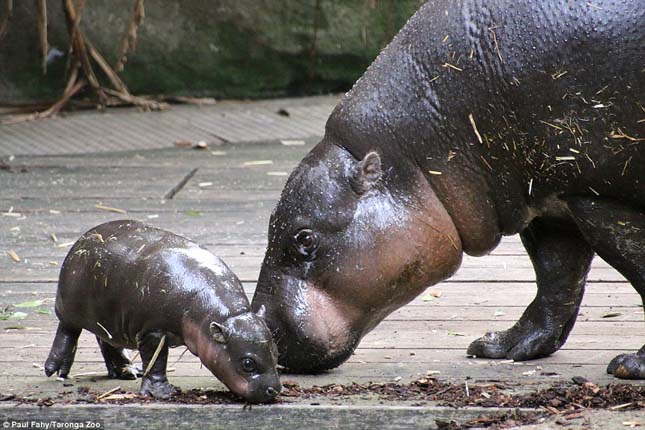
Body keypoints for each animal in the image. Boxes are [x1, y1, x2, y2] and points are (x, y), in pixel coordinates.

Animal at [42, 222, 280, 404]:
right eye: (248, 363)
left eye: (276, 352)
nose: (275, 390)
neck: (221, 314)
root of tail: (83, 238)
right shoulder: (153, 331)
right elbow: (156, 361)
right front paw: (164, 393)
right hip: (69, 305)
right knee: (68, 330)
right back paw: (56, 370)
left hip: (109, 318)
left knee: (107, 341)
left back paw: (128, 371)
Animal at [253, 0, 644, 376]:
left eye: (304, 239)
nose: (262, 329)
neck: (411, 155)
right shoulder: (547, 196)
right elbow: (556, 276)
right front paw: (502, 346)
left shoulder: (596, 196)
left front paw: (631, 366)